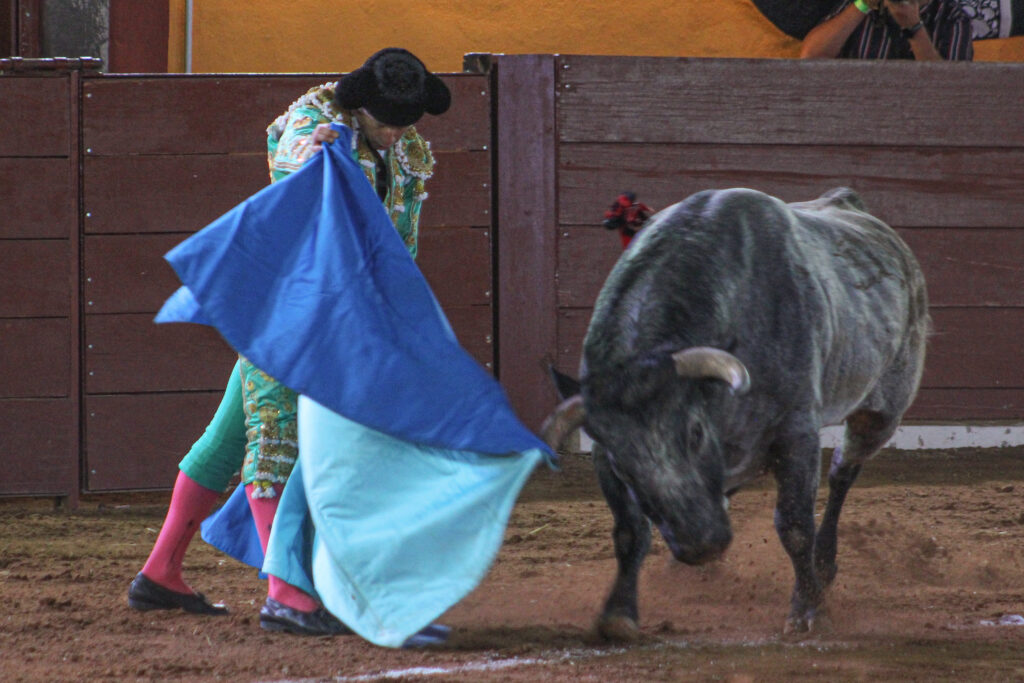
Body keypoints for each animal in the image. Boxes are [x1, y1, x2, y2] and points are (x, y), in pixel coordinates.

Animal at [544, 185, 929, 634]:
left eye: (695, 432)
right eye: (623, 460)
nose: (701, 545)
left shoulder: (796, 431)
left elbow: (794, 525)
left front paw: (808, 608)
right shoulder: (603, 460)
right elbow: (628, 531)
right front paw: (619, 613)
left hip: (881, 413)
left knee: (841, 473)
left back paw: (824, 562)